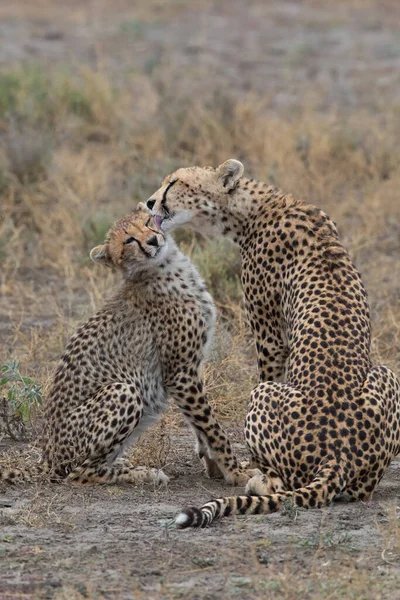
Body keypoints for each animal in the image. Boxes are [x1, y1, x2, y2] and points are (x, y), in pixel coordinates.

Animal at [0, 206, 247, 488]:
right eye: (129, 240)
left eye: (148, 222)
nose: (152, 241)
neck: (167, 266)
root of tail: (47, 456)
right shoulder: (180, 372)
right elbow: (211, 426)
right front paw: (237, 472)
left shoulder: (188, 370)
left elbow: (200, 424)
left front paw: (215, 466)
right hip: (123, 390)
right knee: (80, 473)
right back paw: (144, 473)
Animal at [146, 158, 400, 524]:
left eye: (175, 182)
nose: (149, 202)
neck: (256, 208)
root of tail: (339, 457)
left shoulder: (269, 336)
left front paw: (241, 466)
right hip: (387, 375)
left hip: (264, 395)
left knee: (285, 484)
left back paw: (259, 480)